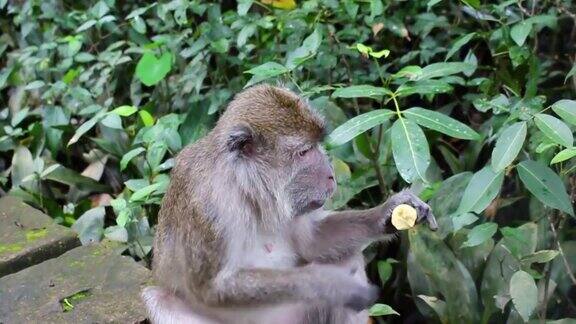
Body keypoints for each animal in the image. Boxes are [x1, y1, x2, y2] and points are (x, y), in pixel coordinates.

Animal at [143, 84, 436, 324]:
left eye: (316, 145)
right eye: (304, 152)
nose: (330, 174)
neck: (246, 190)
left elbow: (313, 242)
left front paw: (387, 213)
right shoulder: (207, 206)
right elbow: (212, 288)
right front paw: (328, 284)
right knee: (158, 299)